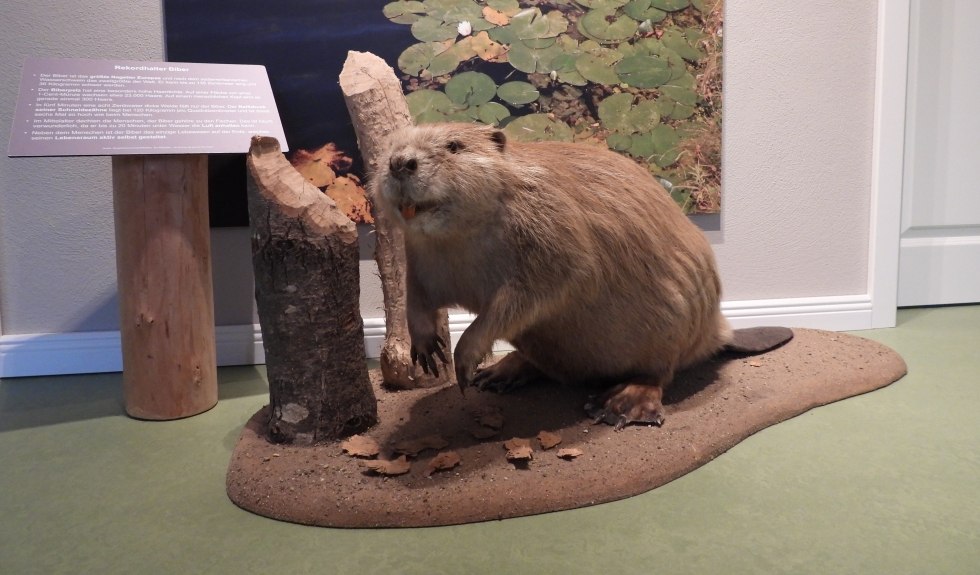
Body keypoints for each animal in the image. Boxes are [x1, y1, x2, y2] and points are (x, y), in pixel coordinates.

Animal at [372, 124, 792, 430]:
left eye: (454, 145)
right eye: (391, 145)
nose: (400, 163)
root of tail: (718, 334)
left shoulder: (552, 224)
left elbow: (545, 286)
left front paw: (463, 360)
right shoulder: (420, 254)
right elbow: (416, 295)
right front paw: (427, 349)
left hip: (670, 333)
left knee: (659, 374)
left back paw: (618, 405)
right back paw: (499, 375)